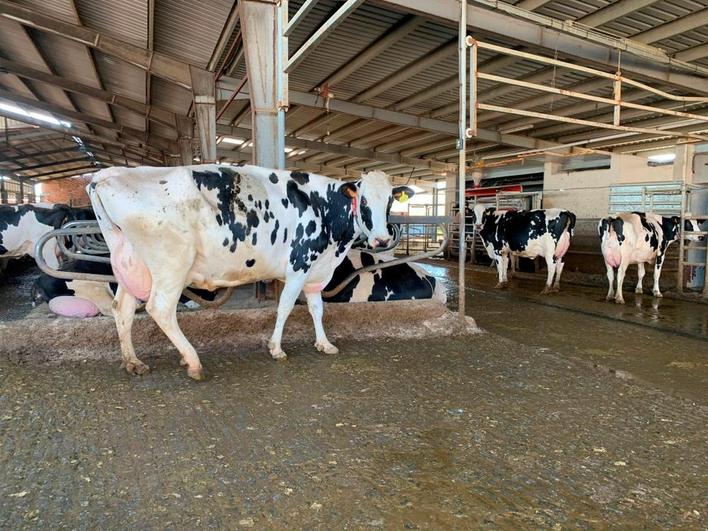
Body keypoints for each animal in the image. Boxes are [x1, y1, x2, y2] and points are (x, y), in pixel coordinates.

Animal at [86, 164, 412, 380]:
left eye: (390, 201)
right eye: (364, 200)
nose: (382, 240)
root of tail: (105, 175)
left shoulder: (316, 271)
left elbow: (317, 309)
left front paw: (325, 344)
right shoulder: (299, 264)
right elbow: (285, 307)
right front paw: (276, 348)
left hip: (132, 265)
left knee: (122, 308)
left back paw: (133, 361)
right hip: (171, 264)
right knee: (160, 308)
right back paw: (192, 361)